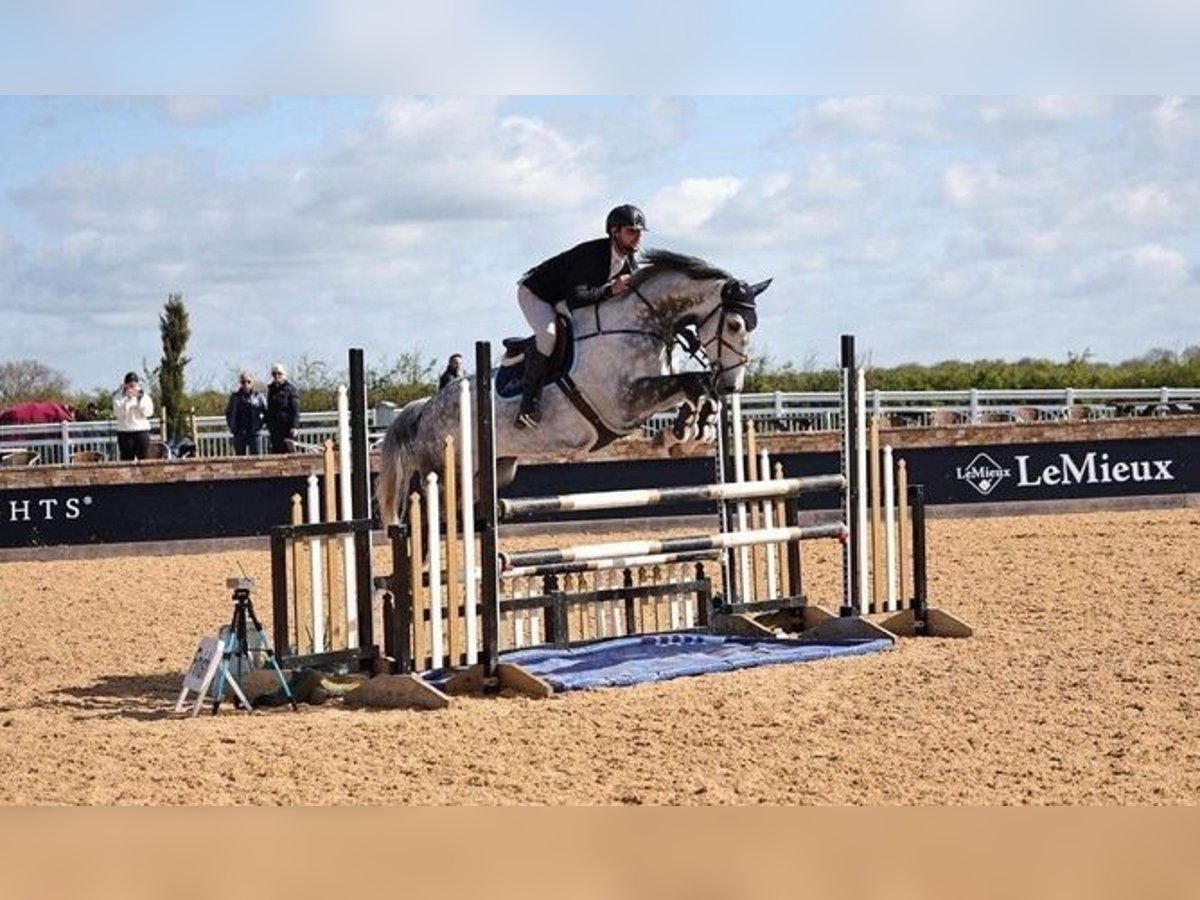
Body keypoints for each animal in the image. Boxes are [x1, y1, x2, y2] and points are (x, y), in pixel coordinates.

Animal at [374, 248, 768, 528]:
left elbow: (693, 389)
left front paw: (687, 432)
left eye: (752, 326)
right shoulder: (624, 404)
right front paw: (681, 432)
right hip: (447, 472)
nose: (732, 385)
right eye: (734, 325)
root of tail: (424, 409)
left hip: (493, 469)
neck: (641, 323)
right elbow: (691, 381)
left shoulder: (645, 399)